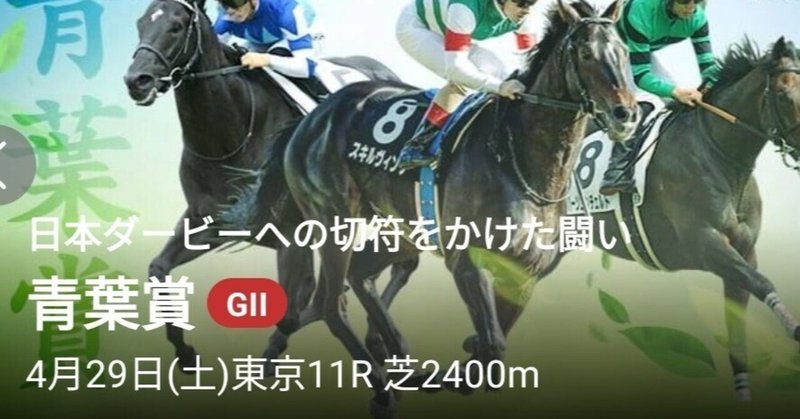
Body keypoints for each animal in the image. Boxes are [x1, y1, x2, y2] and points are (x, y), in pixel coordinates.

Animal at [123, 0, 419, 369]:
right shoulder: (207, 222)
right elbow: (158, 269)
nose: (136, 80)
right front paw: (186, 352)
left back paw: (378, 341)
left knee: (403, 263)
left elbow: (294, 311)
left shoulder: (292, 236)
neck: (230, 138)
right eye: (139, 24)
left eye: (176, 26)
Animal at [281, 0, 638, 415]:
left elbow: (490, 355)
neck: (518, 159)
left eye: (624, 52)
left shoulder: (524, 275)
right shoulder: (468, 261)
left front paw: (456, 364)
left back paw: (397, 356)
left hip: (395, 228)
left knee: (361, 276)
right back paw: (384, 389)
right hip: (333, 219)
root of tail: (313, 117)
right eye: (585, 53)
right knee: (330, 306)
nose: (626, 115)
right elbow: (493, 347)